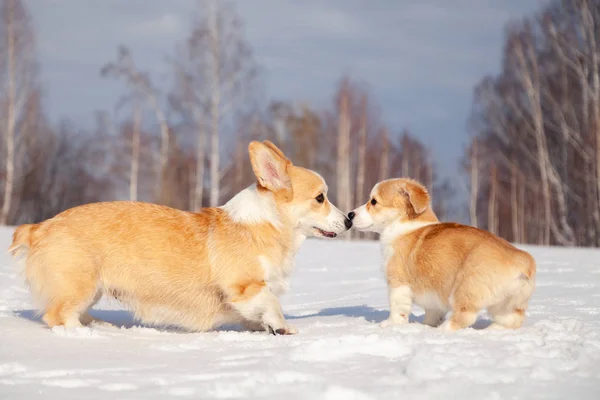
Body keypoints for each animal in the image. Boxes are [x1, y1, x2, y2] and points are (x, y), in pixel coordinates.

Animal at [8, 141, 352, 334]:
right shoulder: (243, 287)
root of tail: (39, 227)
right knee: (58, 315)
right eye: (320, 198)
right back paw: (85, 334)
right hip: (80, 284)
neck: (266, 224)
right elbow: (271, 301)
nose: (349, 219)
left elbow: (260, 311)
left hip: (92, 289)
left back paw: (102, 325)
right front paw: (282, 326)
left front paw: (267, 328)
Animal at [350, 178, 536, 332]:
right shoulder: (433, 296)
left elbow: (397, 307)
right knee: (511, 319)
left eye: (374, 201)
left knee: (465, 316)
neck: (403, 224)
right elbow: (433, 313)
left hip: (465, 289)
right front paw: (425, 325)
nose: (351, 214)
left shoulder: (397, 281)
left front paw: (390, 324)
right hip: (508, 303)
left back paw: (442, 330)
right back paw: (492, 330)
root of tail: (523, 262)